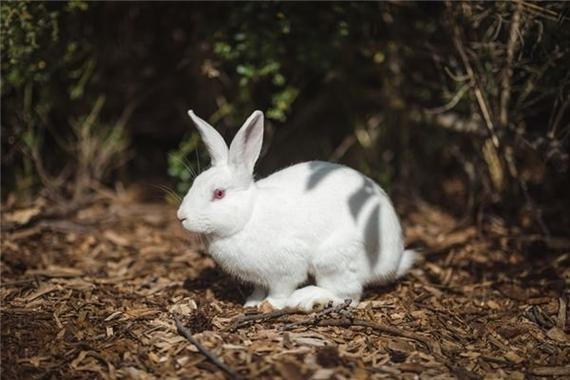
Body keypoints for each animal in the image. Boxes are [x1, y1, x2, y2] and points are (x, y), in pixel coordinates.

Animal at [176, 110, 412, 312]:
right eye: (195, 183)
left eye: (219, 193)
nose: (181, 217)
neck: (248, 217)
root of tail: (393, 261)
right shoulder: (258, 278)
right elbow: (258, 289)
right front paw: (251, 303)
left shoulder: (286, 269)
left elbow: (280, 290)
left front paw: (270, 305)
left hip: (335, 261)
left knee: (348, 296)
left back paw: (306, 299)